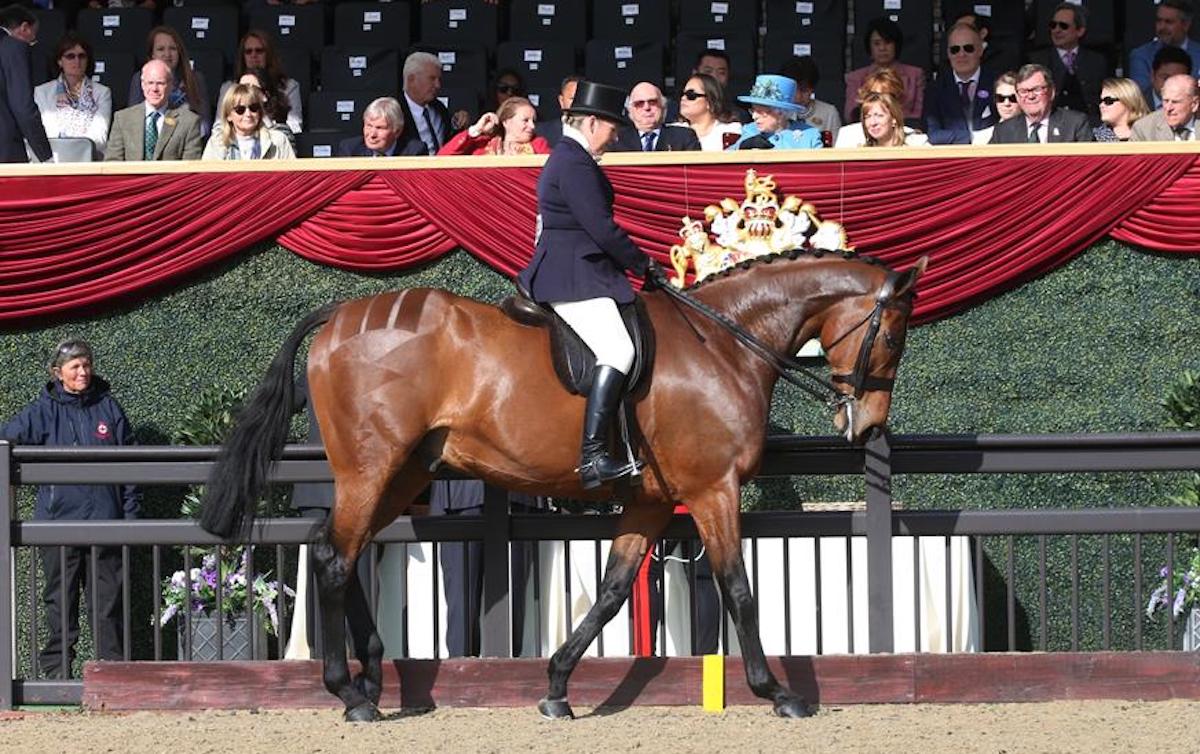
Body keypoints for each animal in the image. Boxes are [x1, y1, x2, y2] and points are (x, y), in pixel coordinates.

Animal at [199, 247, 926, 720]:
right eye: (893, 336)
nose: (866, 425)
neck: (724, 343)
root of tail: (338, 314)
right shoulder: (713, 489)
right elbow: (740, 590)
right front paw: (779, 694)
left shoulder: (652, 501)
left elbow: (611, 591)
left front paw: (555, 686)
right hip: (372, 467)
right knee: (333, 556)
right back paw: (349, 695)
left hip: (400, 473)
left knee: (342, 552)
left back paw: (372, 679)